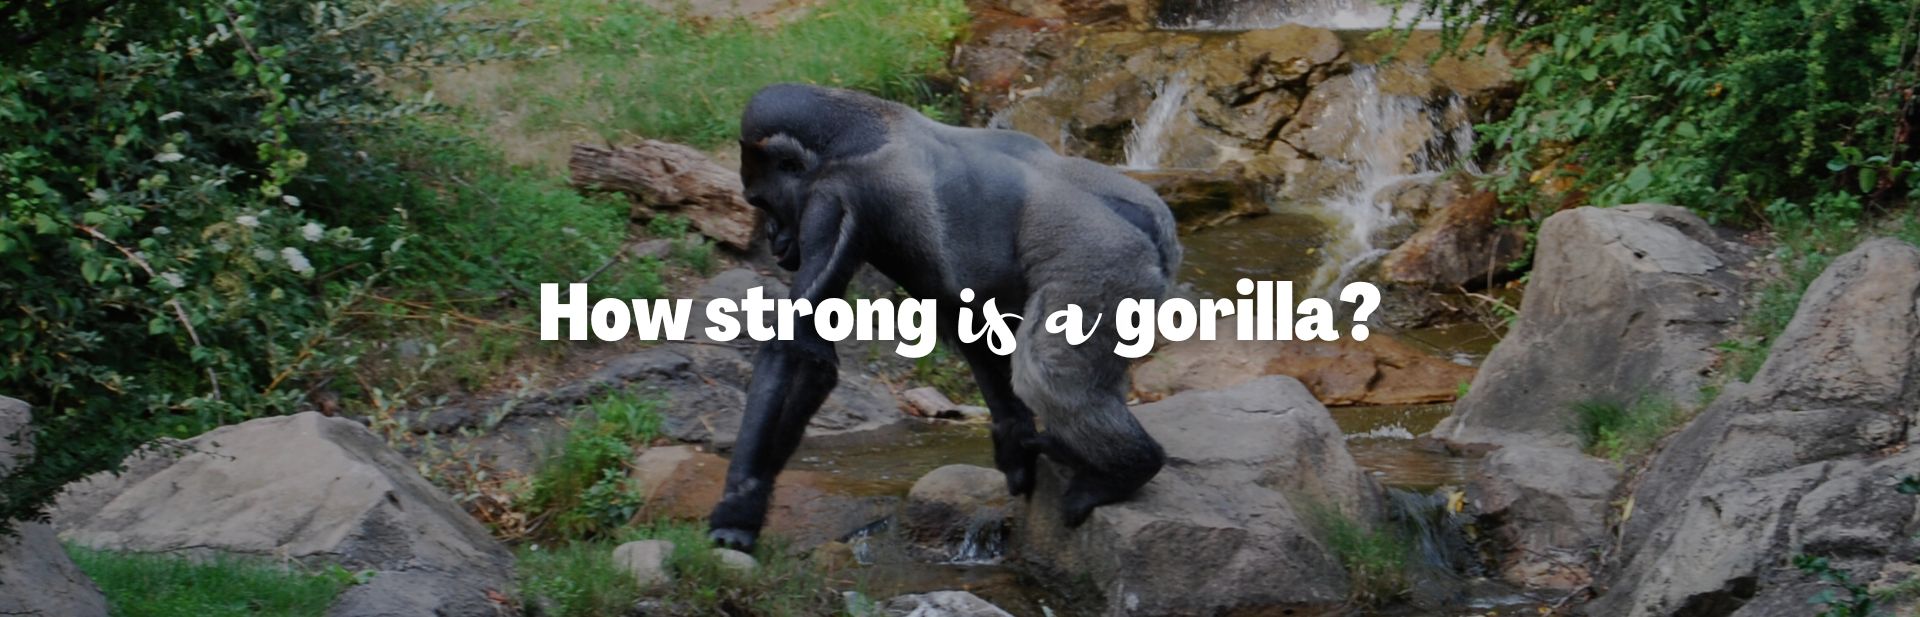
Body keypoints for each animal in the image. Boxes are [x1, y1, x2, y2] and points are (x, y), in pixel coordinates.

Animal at [707, 83, 1181, 552]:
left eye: (763, 202)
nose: (772, 237)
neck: (849, 134)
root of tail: (1154, 219)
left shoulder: (829, 202)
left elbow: (800, 352)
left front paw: (739, 510)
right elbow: (973, 329)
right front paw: (1014, 444)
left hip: (1102, 253)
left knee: (1047, 375)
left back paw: (1128, 470)